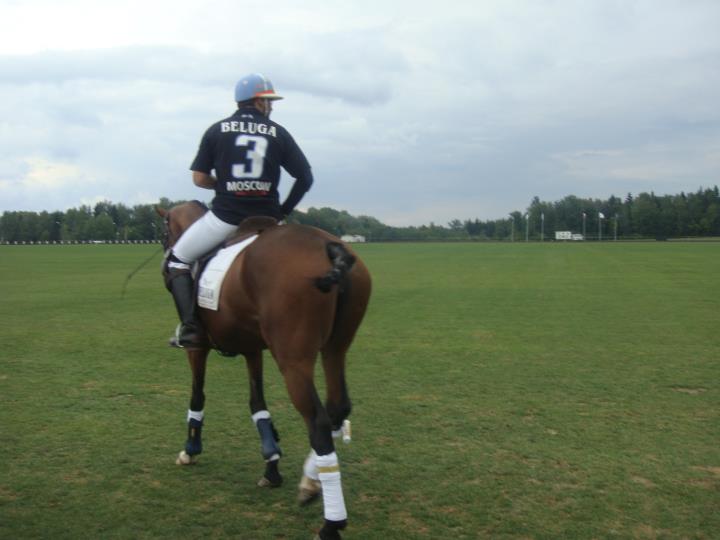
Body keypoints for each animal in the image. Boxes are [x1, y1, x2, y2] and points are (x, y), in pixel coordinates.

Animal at [156, 201, 371, 540]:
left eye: (164, 232)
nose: (166, 259)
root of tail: (331, 249)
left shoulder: (197, 349)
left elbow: (197, 397)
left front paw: (190, 450)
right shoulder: (253, 349)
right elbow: (258, 405)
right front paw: (271, 465)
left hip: (293, 359)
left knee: (318, 421)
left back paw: (331, 523)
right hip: (336, 348)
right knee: (338, 407)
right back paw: (310, 482)